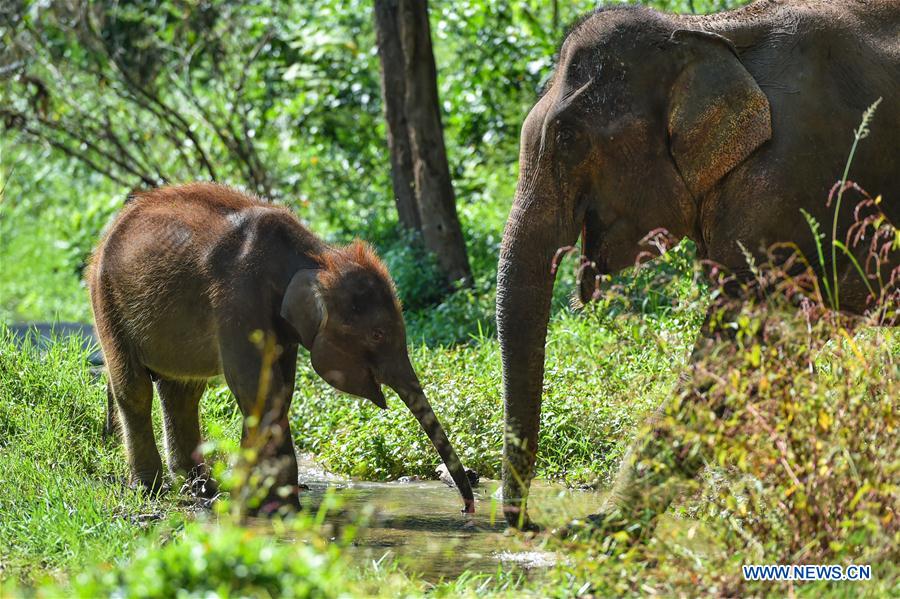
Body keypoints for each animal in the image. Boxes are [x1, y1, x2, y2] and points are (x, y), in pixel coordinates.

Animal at [89, 182, 475, 514]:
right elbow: (257, 387)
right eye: (378, 334)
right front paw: (272, 507)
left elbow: (280, 390)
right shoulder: (237, 298)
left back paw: (200, 489)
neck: (316, 254)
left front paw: (266, 502)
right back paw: (151, 489)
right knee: (135, 388)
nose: (466, 508)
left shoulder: (282, 326)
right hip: (105, 299)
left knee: (182, 392)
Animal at [496, 1, 899, 530]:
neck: (705, 31)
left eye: (567, 137)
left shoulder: (788, 185)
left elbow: (736, 350)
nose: (529, 523)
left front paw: (601, 530)